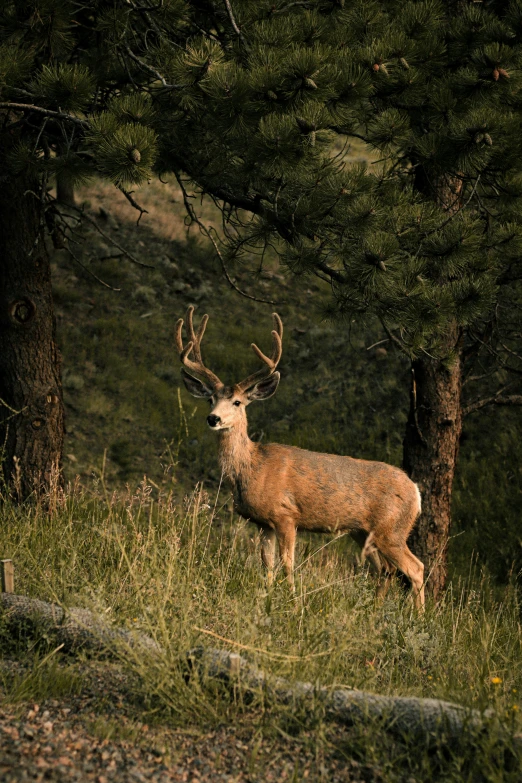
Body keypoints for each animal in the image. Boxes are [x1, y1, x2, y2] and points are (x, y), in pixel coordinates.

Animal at [175, 304, 422, 608]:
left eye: (237, 402)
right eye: (210, 399)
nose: (213, 418)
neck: (252, 467)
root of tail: (416, 491)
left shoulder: (286, 515)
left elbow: (288, 563)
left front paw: (291, 601)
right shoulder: (263, 523)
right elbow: (267, 564)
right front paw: (267, 596)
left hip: (392, 529)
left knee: (416, 569)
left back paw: (420, 616)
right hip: (363, 532)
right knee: (385, 570)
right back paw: (373, 610)